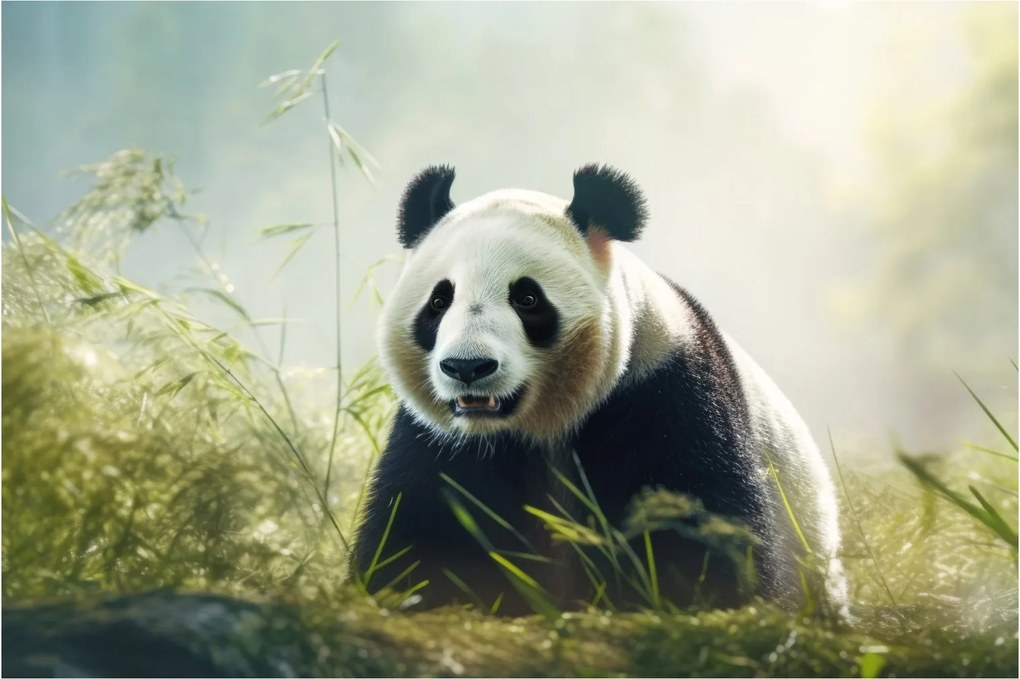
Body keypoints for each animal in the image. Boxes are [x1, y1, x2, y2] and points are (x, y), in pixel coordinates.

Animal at [351, 164, 847, 616]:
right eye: (439, 301)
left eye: (527, 299)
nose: (467, 367)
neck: (541, 424)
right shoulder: (442, 442)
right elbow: (421, 532)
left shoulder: (664, 392)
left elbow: (698, 528)